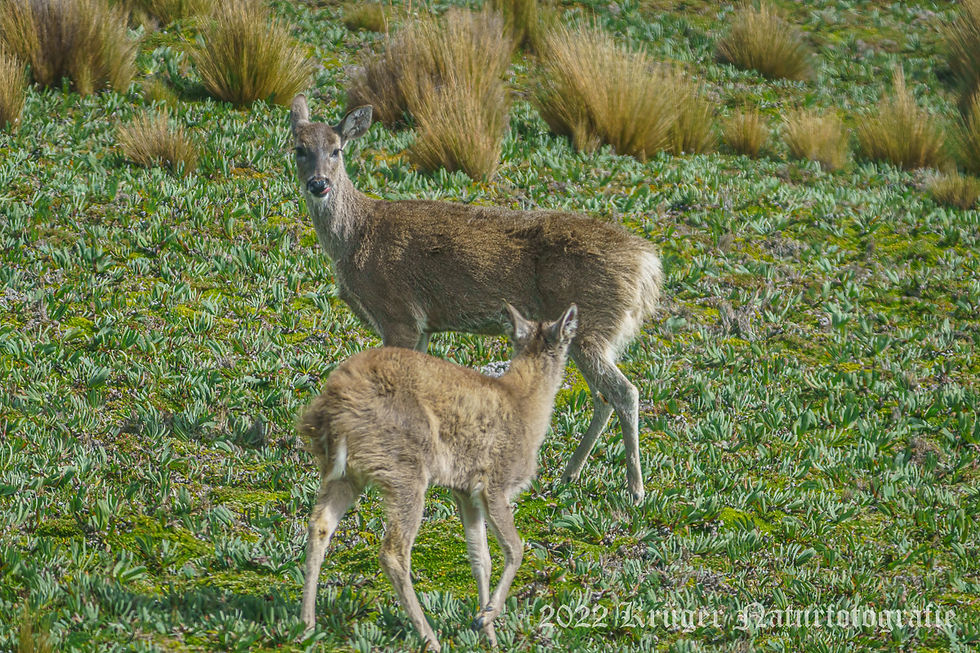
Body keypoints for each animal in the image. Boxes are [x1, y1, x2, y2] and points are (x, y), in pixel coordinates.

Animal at [289, 94, 662, 503]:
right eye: (299, 148)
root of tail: (647, 265)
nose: (319, 184)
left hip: (594, 325)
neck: (356, 237)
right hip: (589, 333)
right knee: (603, 397)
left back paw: (635, 490)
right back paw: (568, 475)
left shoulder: (398, 313)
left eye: (337, 150)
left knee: (625, 392)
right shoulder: (422, 326)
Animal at [297, 303, 579, 650]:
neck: (526, 406)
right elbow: (515, 547)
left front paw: (487, 633)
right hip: (404, 469)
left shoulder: (465, 490)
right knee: (393, 551)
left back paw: (307, 624)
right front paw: (487, 617)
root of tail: (331, 410)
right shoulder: (494, 482)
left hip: (345, 474)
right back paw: (429, 637)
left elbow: (480, 559)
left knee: (319, 525)